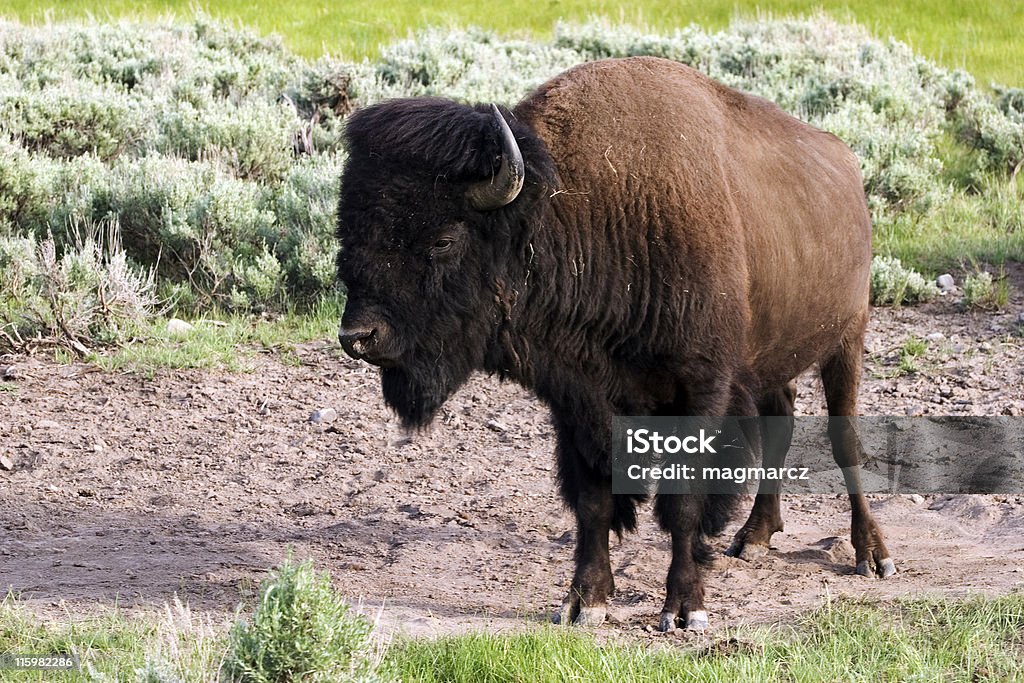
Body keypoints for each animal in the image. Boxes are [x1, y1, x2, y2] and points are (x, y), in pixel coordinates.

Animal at [337, 56, 897, 634]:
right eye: (347, 231)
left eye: (444, 239)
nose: (358, 337)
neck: (573, 214)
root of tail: (846, 166)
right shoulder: (578, 400)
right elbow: (593, 501)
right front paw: (584, 602)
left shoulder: (702, 390)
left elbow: (684, 503)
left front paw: (685, 609)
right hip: (771, 362)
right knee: (779, 422)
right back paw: (754, 537)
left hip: (847, 338)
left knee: (844, 439)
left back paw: (872, 555)